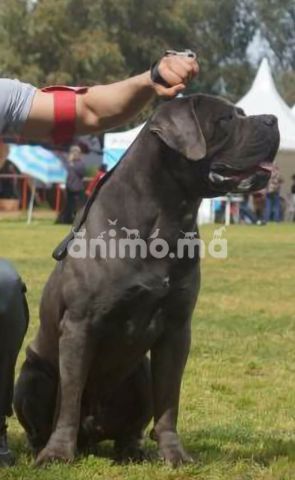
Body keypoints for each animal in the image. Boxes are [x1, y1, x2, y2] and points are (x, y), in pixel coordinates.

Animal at [14, 94, 280, 464]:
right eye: (226, 118)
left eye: (241, 113)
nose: (273, 120)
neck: (166, 216)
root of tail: (91, 437)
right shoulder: (80, 325)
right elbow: (69, 399)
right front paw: (57, 454)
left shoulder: (177, 328)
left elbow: (169, 399)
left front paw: (174, 454)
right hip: (32, 375)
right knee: (43, 419)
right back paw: (46, 447)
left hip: (139, 373)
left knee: (132, 425)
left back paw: (132, 451)